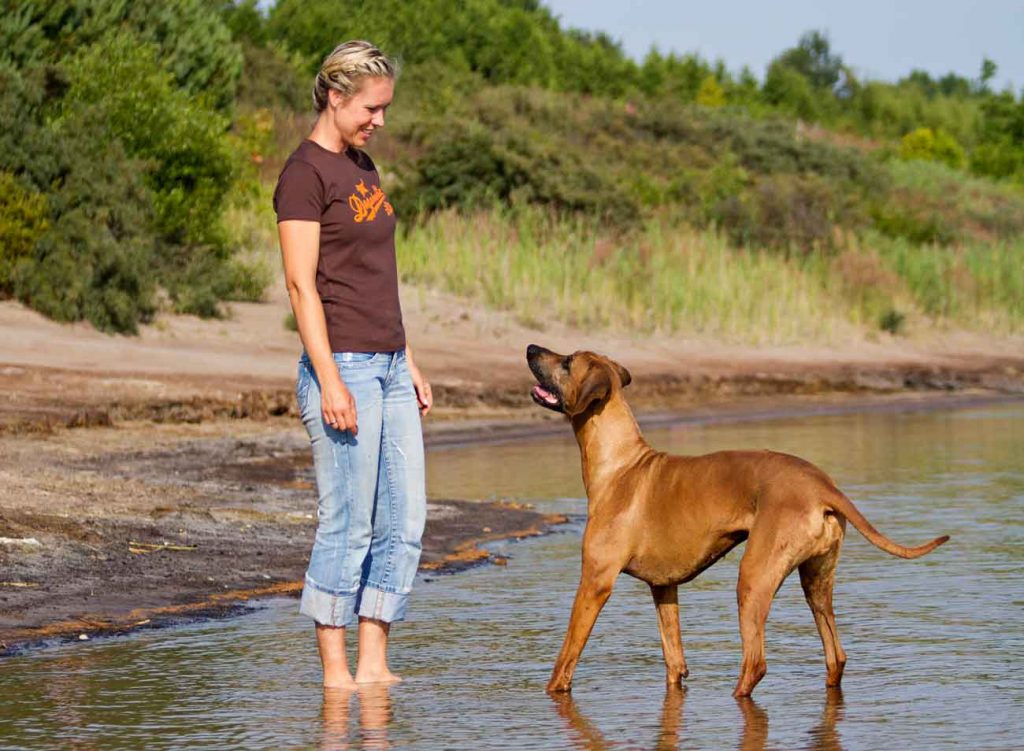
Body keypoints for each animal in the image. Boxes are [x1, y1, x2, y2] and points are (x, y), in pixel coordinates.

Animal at [528, 346, 950, 696]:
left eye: (567, 361)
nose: (531, 347)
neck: (621, 465)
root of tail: (822, 486)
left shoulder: (594, 582)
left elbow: (565, 659)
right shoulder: (664, 588)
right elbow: (674, 661)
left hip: (753, 578)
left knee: (755, 664)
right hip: (816, 583)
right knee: (836, 656)